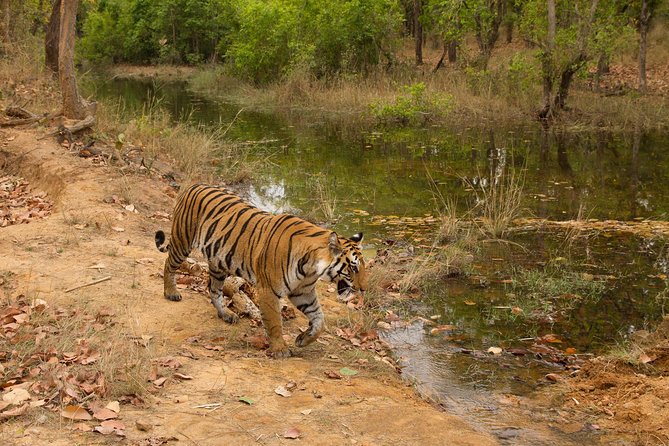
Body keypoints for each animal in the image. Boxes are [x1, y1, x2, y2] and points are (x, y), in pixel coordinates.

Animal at [155, 183, 368, 358]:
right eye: (354, 267)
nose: (364, 289)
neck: (311, 269)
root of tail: (194, 185)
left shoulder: (303, 291)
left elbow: (319, 321)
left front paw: (303, 339)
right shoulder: (269, 291)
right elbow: (274, 322)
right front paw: (280, 350)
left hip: (218, 262)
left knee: (214, 289)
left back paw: (226, 314)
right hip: (183, 241)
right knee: (169, 265)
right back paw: (171, 292)